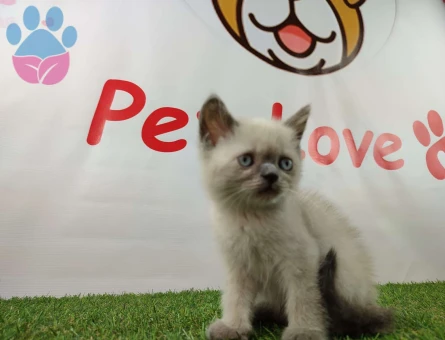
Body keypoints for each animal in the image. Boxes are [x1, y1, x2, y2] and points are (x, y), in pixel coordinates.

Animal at [198, 95, 392, 340]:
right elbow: (235, 297)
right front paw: (233, 327)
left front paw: (304, 331)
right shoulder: (239, 266)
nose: (272, 176)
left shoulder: (302, 262)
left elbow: (303, 300)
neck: (252, 217)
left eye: (285, 163)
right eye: (246, 160)